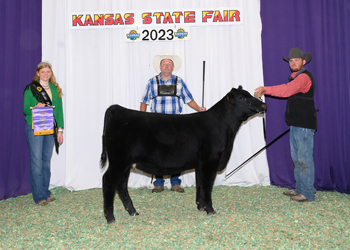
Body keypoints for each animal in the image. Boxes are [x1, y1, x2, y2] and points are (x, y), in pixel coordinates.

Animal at [100, 86, 266, 225]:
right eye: (242, 98)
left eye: (250, 94)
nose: (263, 105)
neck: (224, 126)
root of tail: (117, 109)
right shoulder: (210, 161)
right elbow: (207, 186)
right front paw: (210, 210)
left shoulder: (200, 164)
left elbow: (200, 184)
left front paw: (200, 207)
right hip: (118, 161)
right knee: (108, 181)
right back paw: (110, 218)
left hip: (126, 164)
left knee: (121, 185)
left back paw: (133, 212)